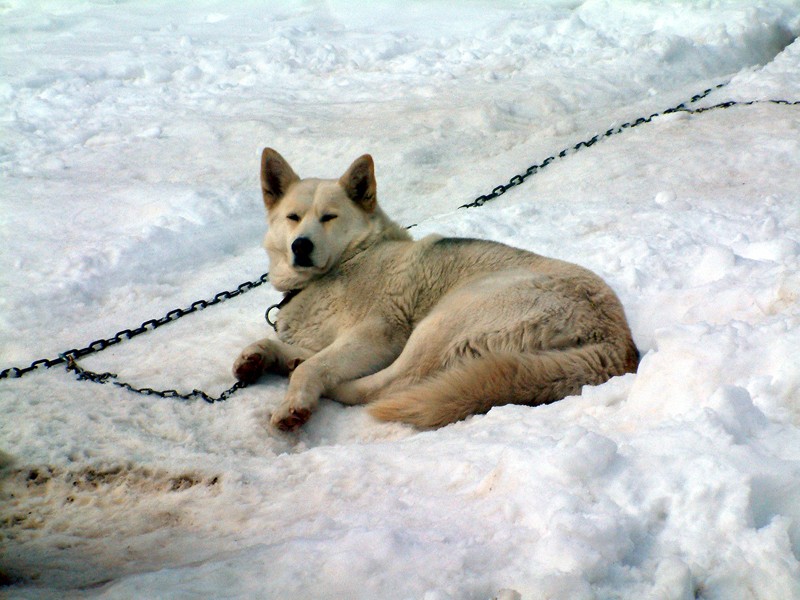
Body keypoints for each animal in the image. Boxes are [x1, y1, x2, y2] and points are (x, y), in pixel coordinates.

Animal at [231, 150, 636, 432]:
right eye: (293, 217)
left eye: (329, 217)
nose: (301, 246)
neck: (348, 261)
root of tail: (617, 347)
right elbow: (300, 352)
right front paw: (261, 357)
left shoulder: (378, 334)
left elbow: (315, 366)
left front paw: (294, 403)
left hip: (443, 319)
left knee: (388, 385)